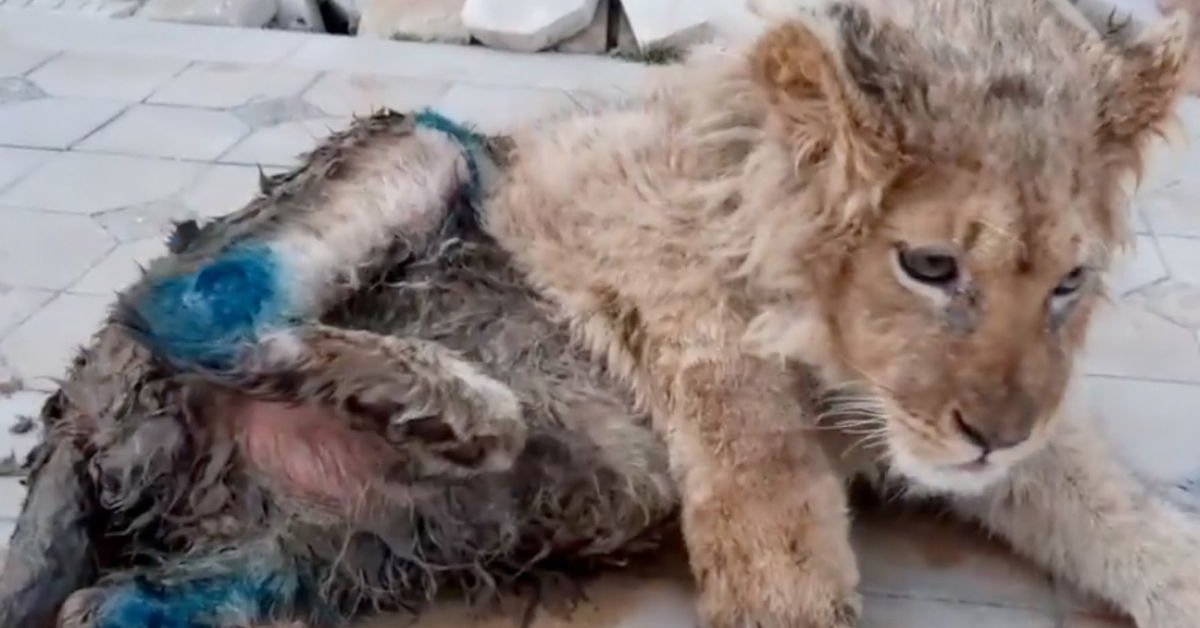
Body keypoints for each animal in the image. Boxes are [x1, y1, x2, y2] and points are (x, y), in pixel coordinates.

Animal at [0, 1, 1197, 628]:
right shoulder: (628, 239)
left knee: (98, 608)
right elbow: (773, 519)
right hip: (424, 141)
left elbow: (1123, 522)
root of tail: (74, 417)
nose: (994, 436)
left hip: (284, 559)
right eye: (931, 265)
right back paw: (465, 410)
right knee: (193, 295)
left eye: (1070, 284)